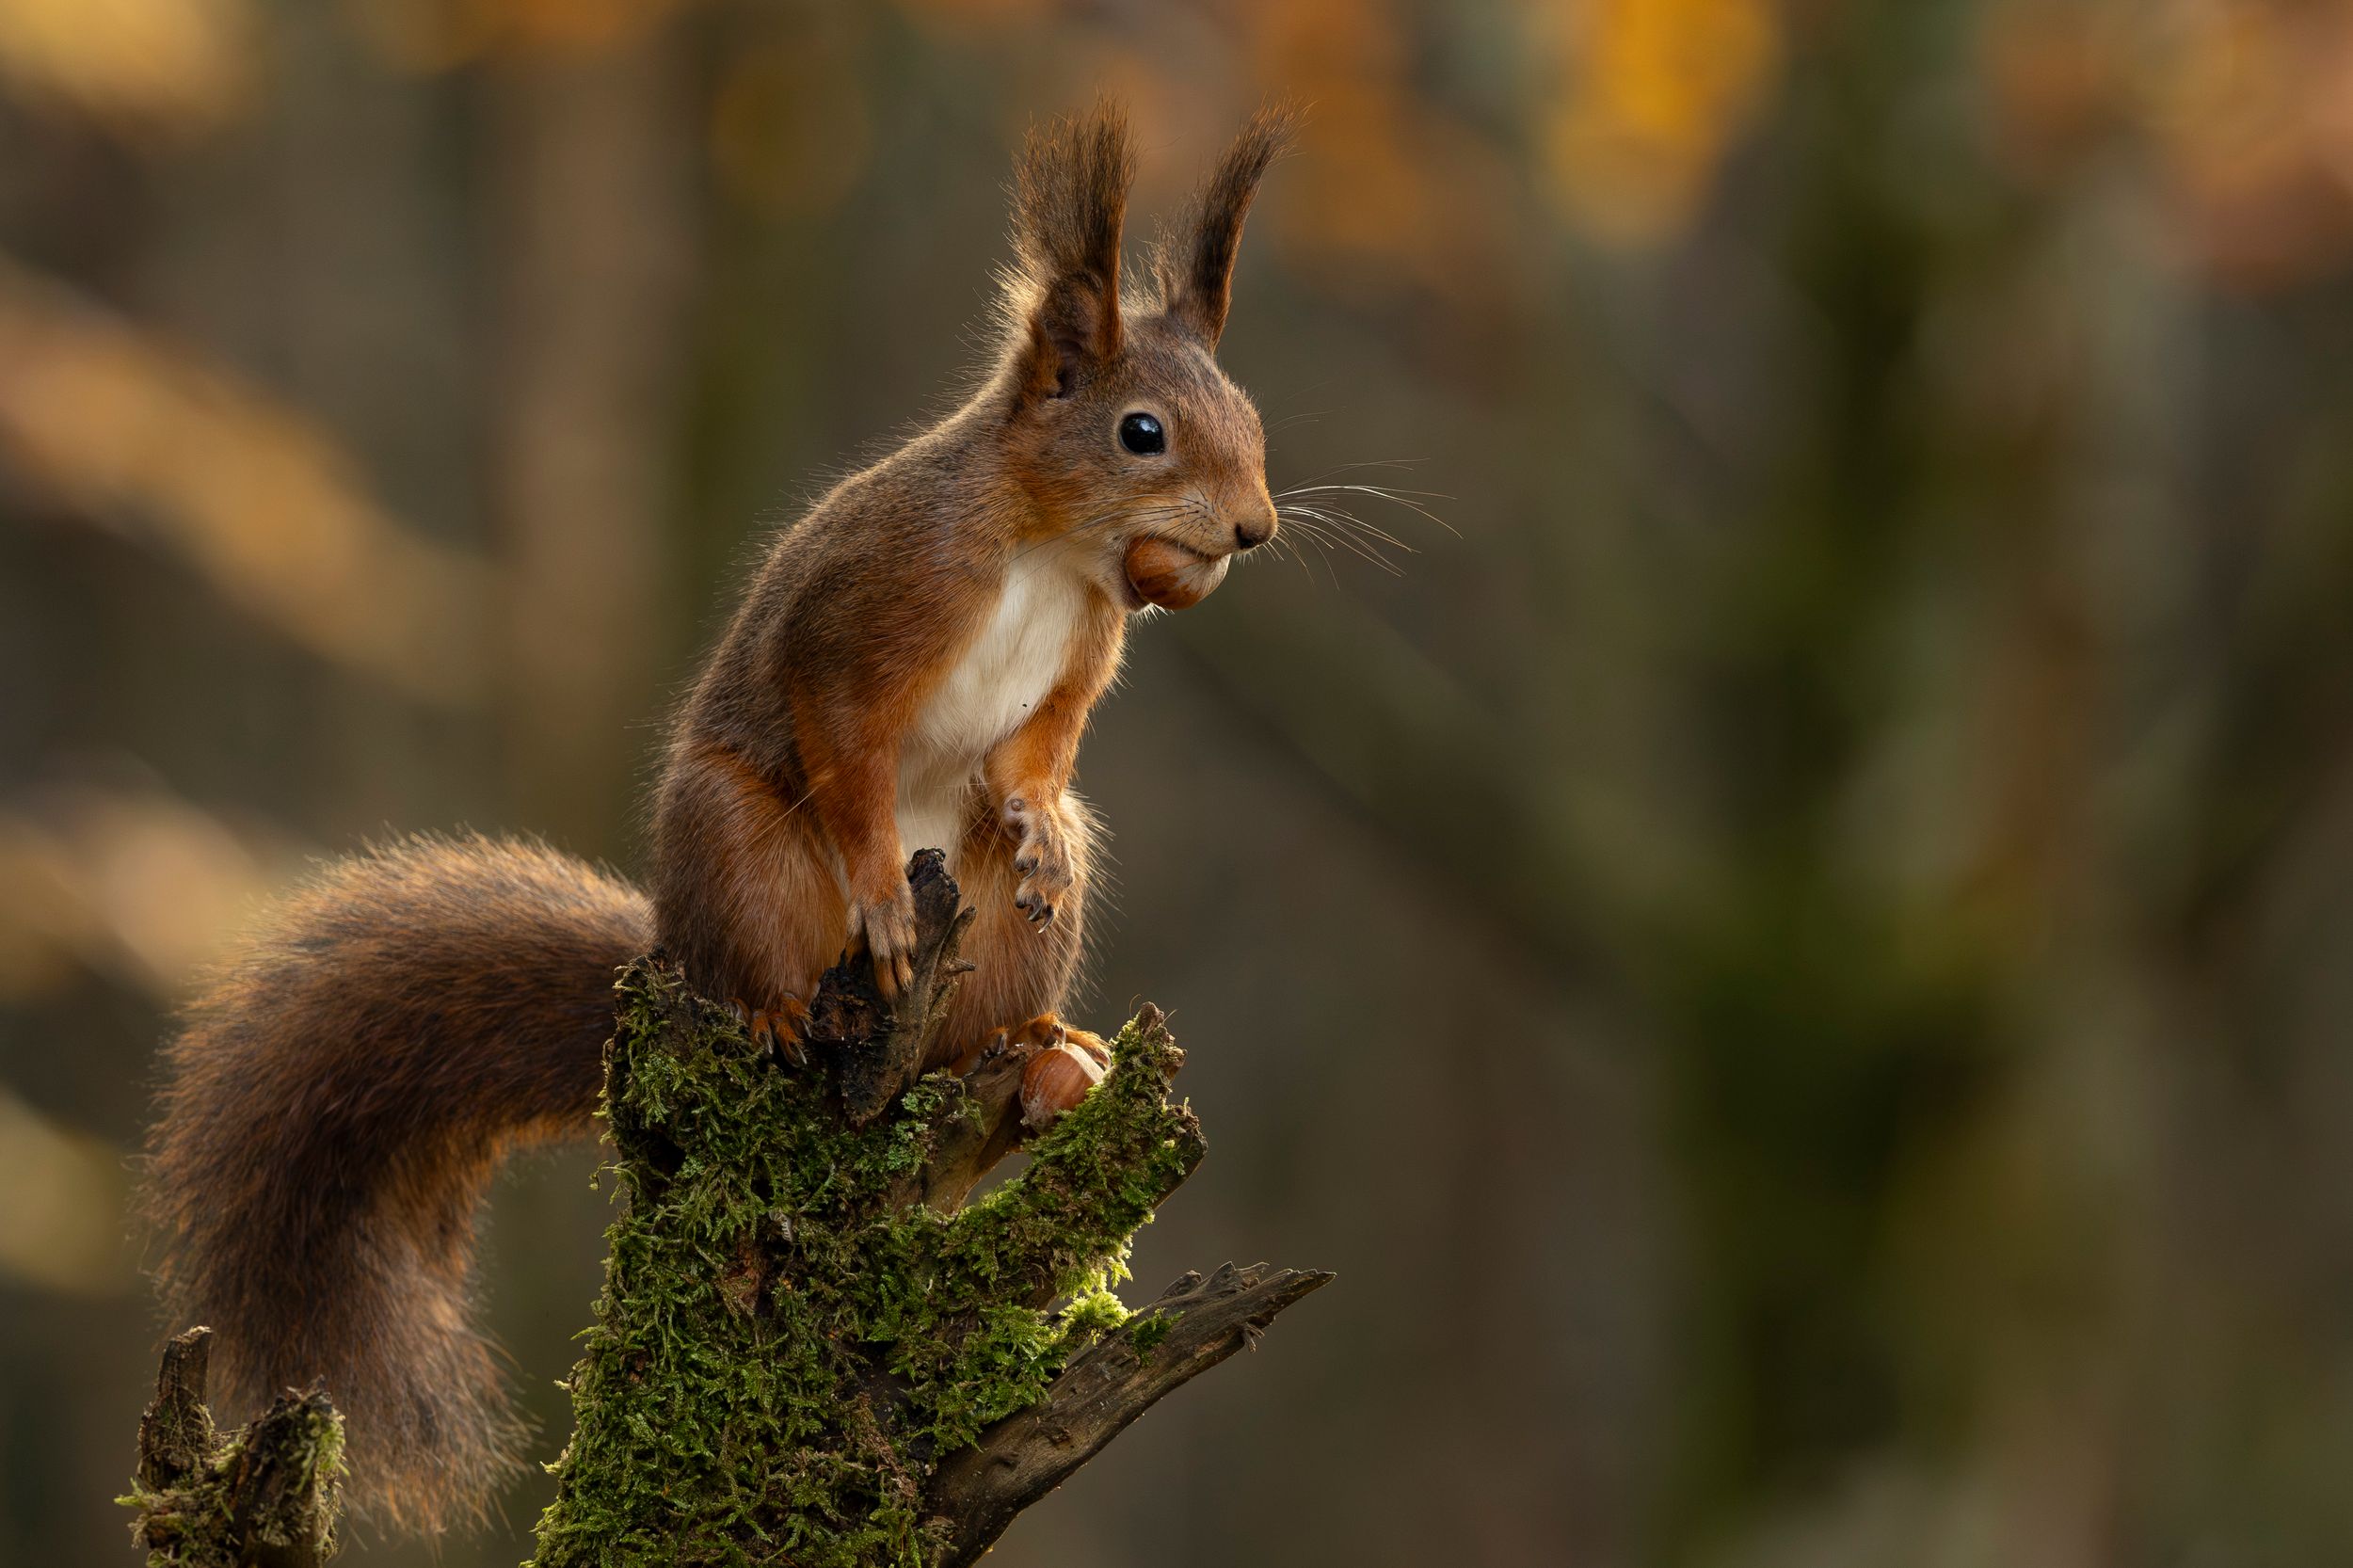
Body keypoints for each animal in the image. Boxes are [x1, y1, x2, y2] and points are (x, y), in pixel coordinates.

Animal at [142, 102, 1291, 1537]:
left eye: (1249, 416)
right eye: (1142, 432)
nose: (1255, 527)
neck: (1049, 551)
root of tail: (672, 947)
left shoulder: (1081, 658)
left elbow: (1039, 754)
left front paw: (1031, 820)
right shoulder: (864, 615)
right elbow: (846, 745)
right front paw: (879, 890)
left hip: (1003, 949)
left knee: (979, 1027)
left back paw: (1039, 1050)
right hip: (734, 850)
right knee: (765, 960)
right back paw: (786, 1008)